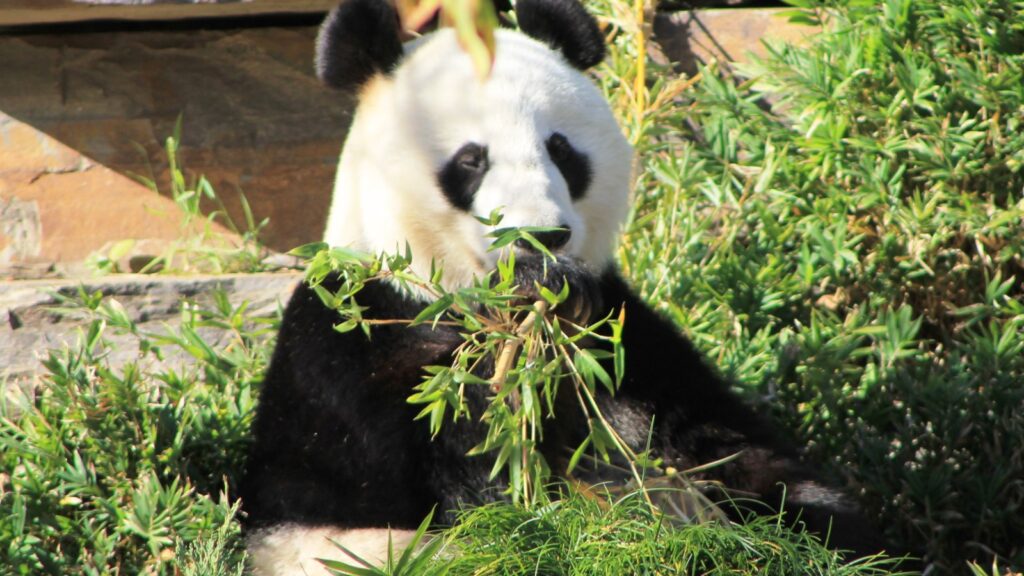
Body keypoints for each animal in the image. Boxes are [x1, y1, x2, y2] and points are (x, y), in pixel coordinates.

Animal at [239, 0, 883, 573]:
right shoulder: (349, 336)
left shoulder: (634, 344)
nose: (541, 237)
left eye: (560, 149)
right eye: (471, 160)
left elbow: (733, 453)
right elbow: (464, 462)